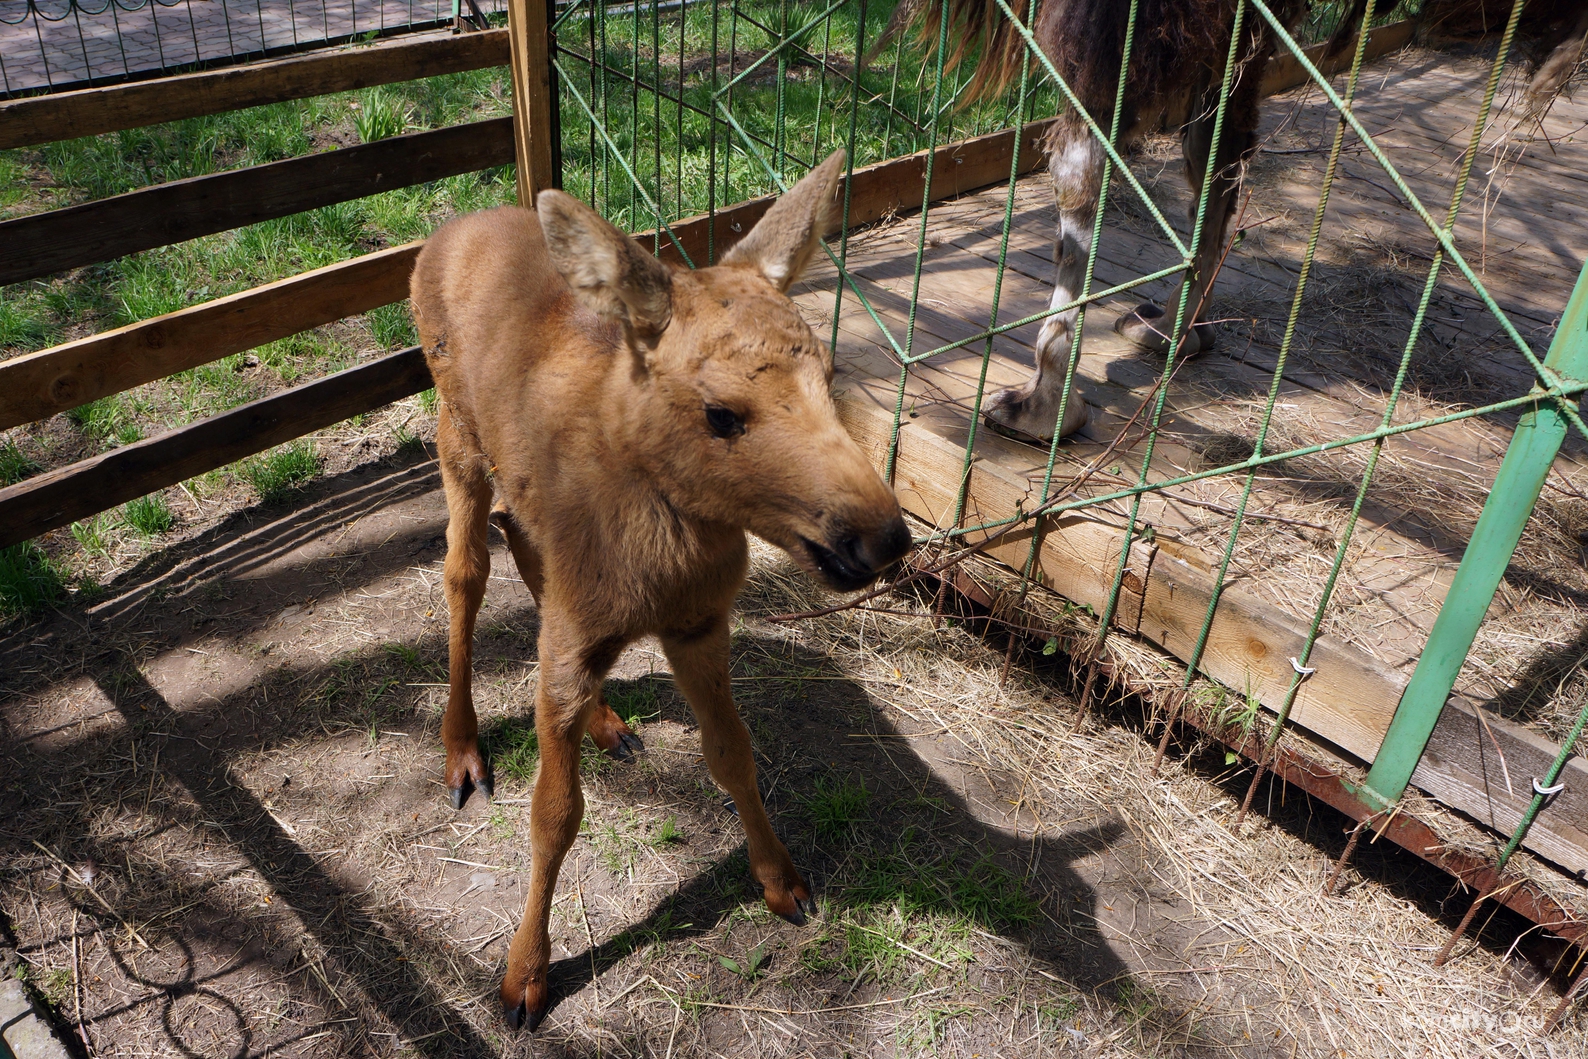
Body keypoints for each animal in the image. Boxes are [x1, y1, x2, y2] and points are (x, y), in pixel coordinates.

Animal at [409, 146, 908, 1028]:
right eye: (721, 412)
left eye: (832, 371)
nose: (884, 535)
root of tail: (448, 231)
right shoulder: (579, 633)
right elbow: (555, 812)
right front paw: (524, 973)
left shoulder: (700, 623)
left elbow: (733, 753)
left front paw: (783, 880)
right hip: (455, 430)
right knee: (465, 569)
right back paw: (462, 748)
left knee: (520, 543)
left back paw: (608, 720)